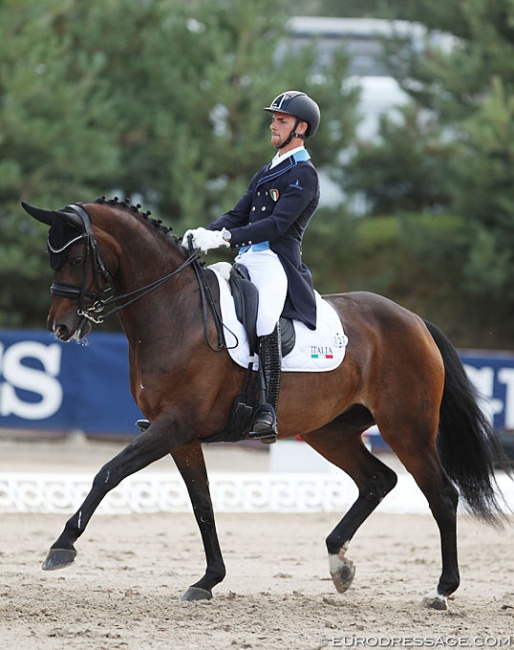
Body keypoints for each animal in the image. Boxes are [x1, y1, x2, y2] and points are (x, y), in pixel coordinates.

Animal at [21, 196, 504, 608]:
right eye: (52, 257)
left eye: (77, 259)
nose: (60, 328)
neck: (173, 310)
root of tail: (415, 320)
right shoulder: (180, 436)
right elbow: (202, 506)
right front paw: (207, 580)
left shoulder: (173, 426)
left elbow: (107, 473)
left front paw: (61, 547)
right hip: (330, 432)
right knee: (377, 481)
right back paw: (339, 563)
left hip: (406, 429)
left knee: (442, 495)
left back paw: (441, 591)